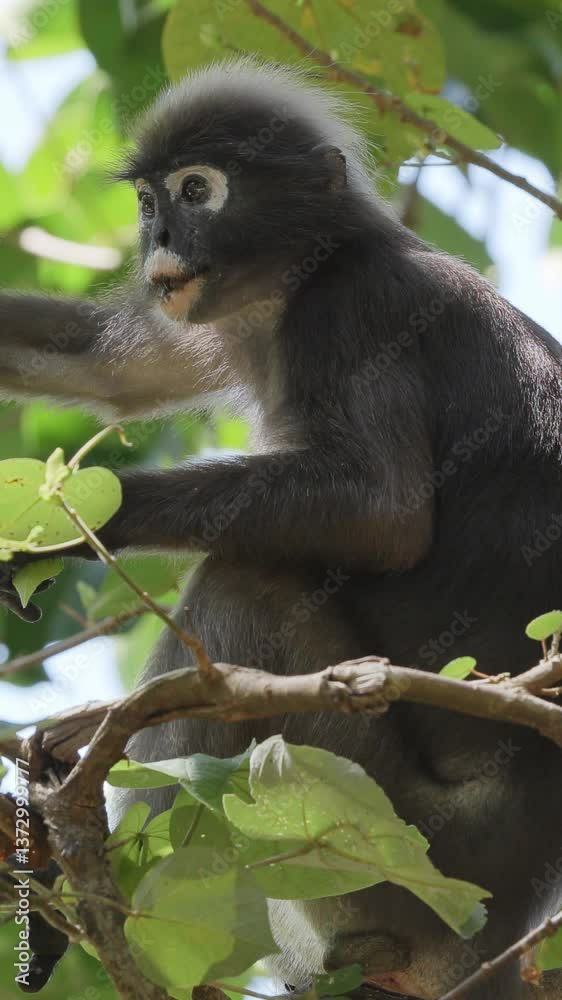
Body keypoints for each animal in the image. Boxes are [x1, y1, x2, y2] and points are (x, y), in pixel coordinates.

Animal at [0, 57, 561, 999]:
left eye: (198, 190)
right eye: (148, 199)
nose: (159, 239)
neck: (303, 272)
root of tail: (510, 919)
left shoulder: (356, 310)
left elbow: (383, 515)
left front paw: (67, 530)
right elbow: (109, 369)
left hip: (399, 847)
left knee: (246, 586)